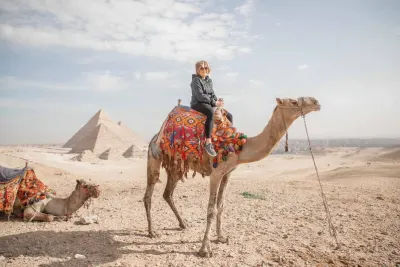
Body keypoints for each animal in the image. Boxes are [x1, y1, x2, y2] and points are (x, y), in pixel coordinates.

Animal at [142, 96, 320, 258]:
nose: (316, 102)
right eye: (294, 102)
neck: (239, 147)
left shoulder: (227, 174)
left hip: (176, 166)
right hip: (154, 156)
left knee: (168, 193)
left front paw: (221, 237)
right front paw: (205, 250)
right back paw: (152, 231)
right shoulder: (216, 173)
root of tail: (155, 136)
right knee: (149, 192)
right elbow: (211, 210)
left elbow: (221, 206)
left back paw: (183, 223)